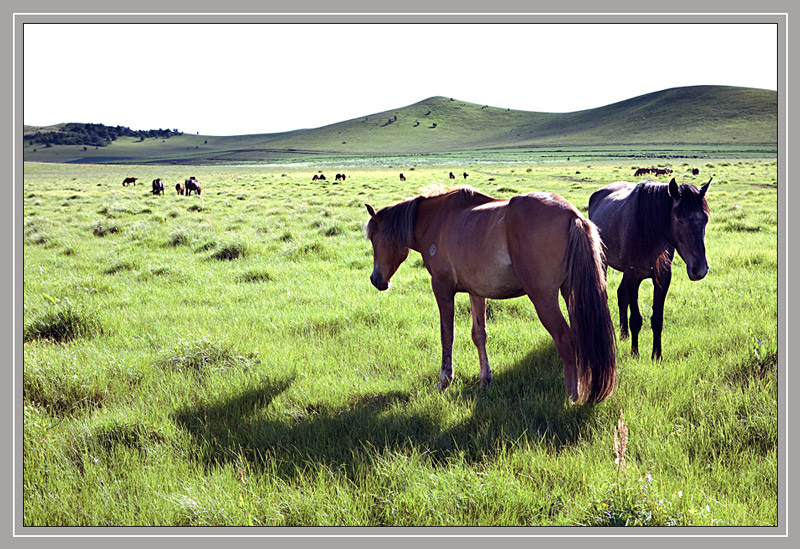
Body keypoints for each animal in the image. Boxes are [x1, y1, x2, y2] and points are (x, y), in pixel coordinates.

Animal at [366, 184, 616, 402]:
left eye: (374, 239)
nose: (375, 280)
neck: (436, 220)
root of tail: (572, 215)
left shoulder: (442, 288)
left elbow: (447, 335)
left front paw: (444, 380)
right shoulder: (476, 291)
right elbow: (479, 334)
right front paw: (485, 379)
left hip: (543, 298)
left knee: (565, 340)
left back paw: (571, 396)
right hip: (571, 294)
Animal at [588, 177, 712, 360]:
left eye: (705, 220)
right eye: (680, 220)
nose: (700, 269)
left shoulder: (662, 278)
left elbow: (657, 319)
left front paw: (657, 356)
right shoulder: (633, 277)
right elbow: (636, 319)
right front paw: (635, 354)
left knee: (621, 295)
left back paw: (624, 334)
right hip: (604, 263)